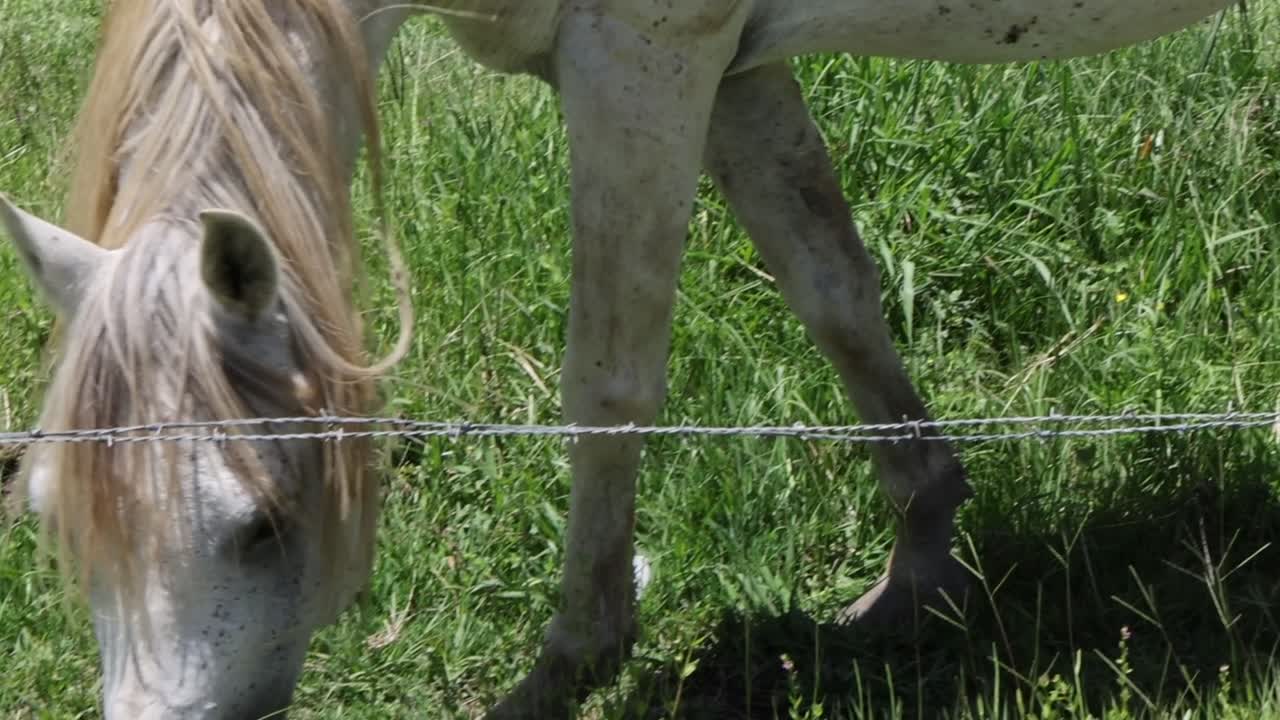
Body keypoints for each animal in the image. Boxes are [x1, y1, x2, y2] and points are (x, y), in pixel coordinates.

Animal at [0, 0, 1246, 718]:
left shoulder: (639, 66)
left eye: (258, 526)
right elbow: (833, 290)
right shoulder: (733, 72)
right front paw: (916, 568)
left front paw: (570, 666)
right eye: (53, 509)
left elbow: (608, 381)